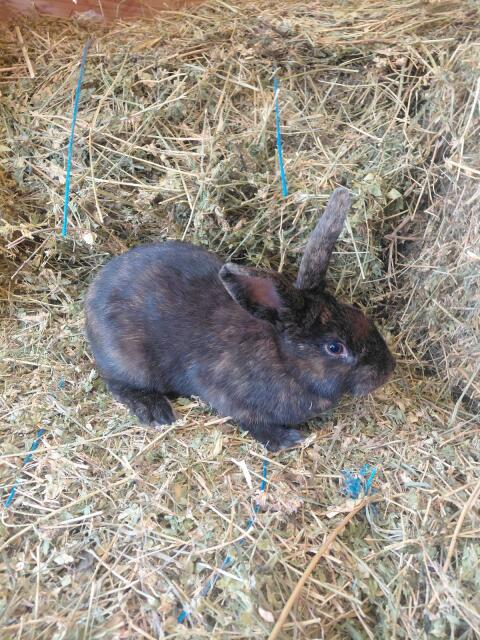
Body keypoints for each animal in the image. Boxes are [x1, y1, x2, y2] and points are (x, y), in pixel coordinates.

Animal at [85, 187, 395, 451]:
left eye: (359, 314)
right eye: (334, 347)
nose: (387, 370)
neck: (284, 361)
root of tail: (93, 295)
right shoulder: (227, 396)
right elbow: (252, 422)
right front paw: (288, 440)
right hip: (131, 362)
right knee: (118, 384)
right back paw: (157, 412)